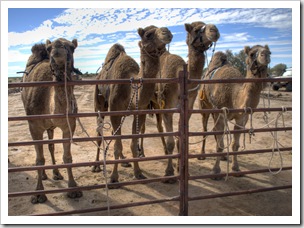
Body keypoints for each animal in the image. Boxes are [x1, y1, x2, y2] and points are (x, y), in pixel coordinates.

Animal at [21, 37, 82, 203]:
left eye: (72, 47)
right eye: (49, 49)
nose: (58, 48)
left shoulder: (69, 125)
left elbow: (67, 157)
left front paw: (73, 189)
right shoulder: (34, 126)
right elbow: (39, 160)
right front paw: (38, 194)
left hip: (51, 127)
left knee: (51, 145)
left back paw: (56, 173)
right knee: (43, 150)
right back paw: (43, 175)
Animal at [92, 25, 173, 184]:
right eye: (148, 34)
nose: (167, 32)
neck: (131, 87)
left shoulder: (139, 111)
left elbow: (133, 145)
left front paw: (138, 173)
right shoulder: (114, 110)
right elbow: (117, 145)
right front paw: (114, 178)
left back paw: (124, 161)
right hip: (100, 105)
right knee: (99, 132)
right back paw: (96, 166)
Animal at [146, 21, 220, 182]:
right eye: (197, 29)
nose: (214, 30)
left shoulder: (187, 108)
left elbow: (181, 139)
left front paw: (181, 170)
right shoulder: (168, 107)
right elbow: (171, 142)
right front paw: (169, 173)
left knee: (159, 127)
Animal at [198, 44, 272, 176]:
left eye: (269, 52)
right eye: (252, 53)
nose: (265, 55)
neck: (234, 95)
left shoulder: (242, 117)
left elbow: (235, 145)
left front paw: (236, 168)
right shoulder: (221, 113)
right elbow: (220, 145)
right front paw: (216, 171)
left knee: (216, 131)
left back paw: (223, 156)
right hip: (205, 106)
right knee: (205, 129)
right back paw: (202, 154)